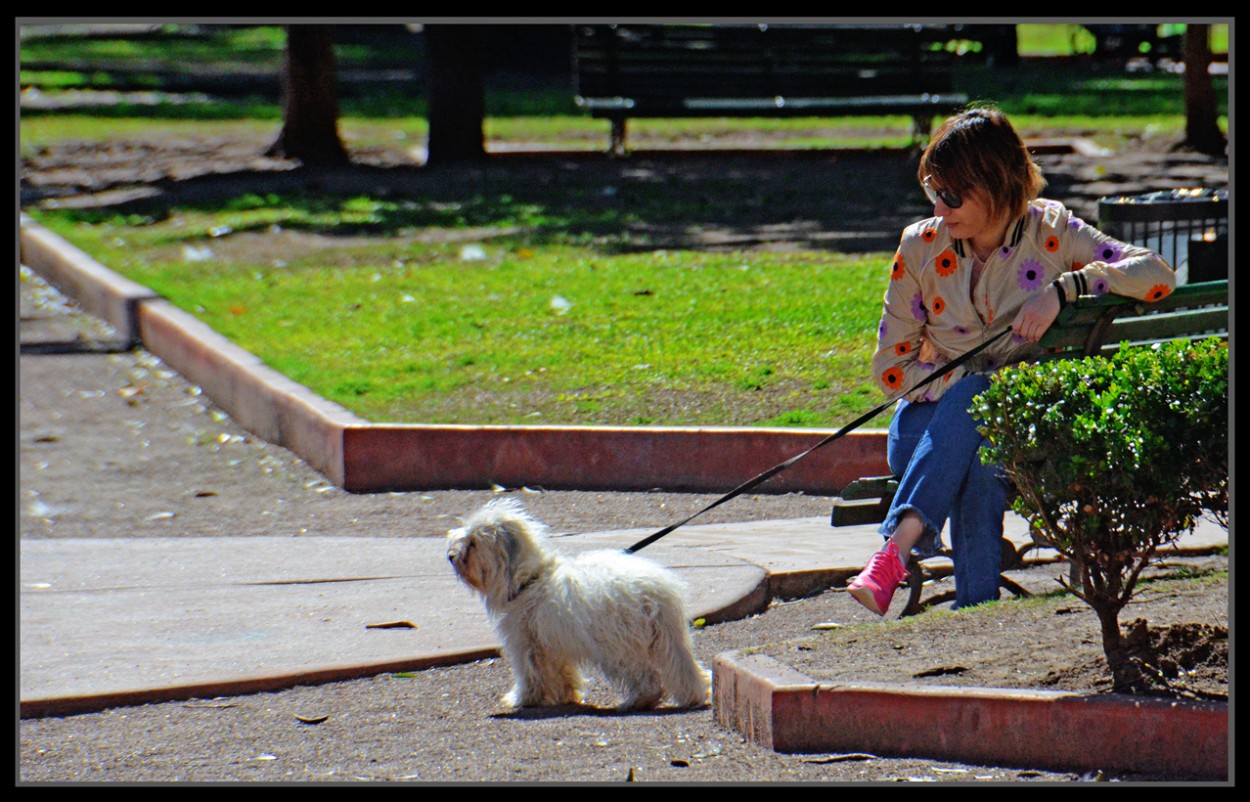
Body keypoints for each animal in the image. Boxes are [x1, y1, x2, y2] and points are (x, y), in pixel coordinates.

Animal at [445, 497, 710, 709]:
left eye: (473, 542)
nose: (451, 556)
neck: (531, 578)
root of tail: (655, 594)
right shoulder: (553, 645)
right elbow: (563, 672)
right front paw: (567, 695)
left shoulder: (525, 642)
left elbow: (529, 673)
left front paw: (522, 699)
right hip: (666, 640)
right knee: (682, 670)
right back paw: (694, 695)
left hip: (619, 646)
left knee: (646, 679)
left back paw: (638, 700)